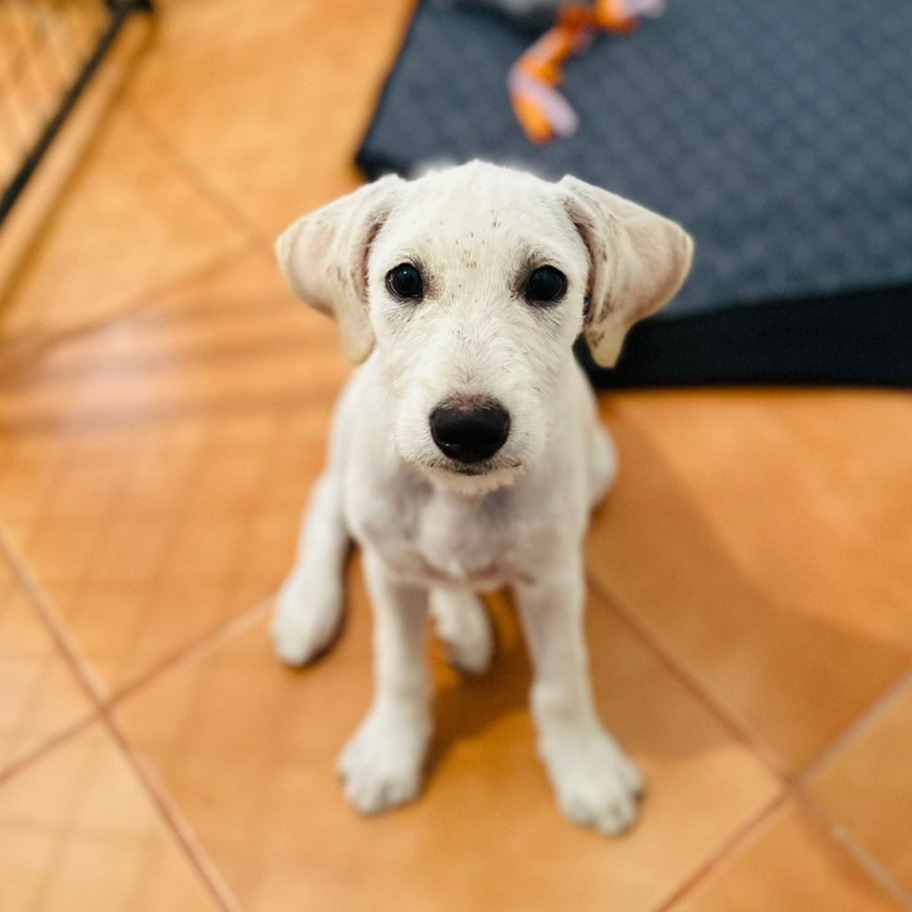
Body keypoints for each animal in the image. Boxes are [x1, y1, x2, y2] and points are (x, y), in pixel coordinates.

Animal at [270, 162, 692, 832]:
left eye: (546, 282)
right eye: (404, 279)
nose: (468, 429)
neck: (459, 497)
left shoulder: (554, 579)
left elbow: (563, 678)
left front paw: (584, 765)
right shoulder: (390, 574)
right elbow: (399, 667)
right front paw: (390, 750)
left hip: (602, 464)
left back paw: (461, 621)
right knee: (326, 504)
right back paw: (309, 607)